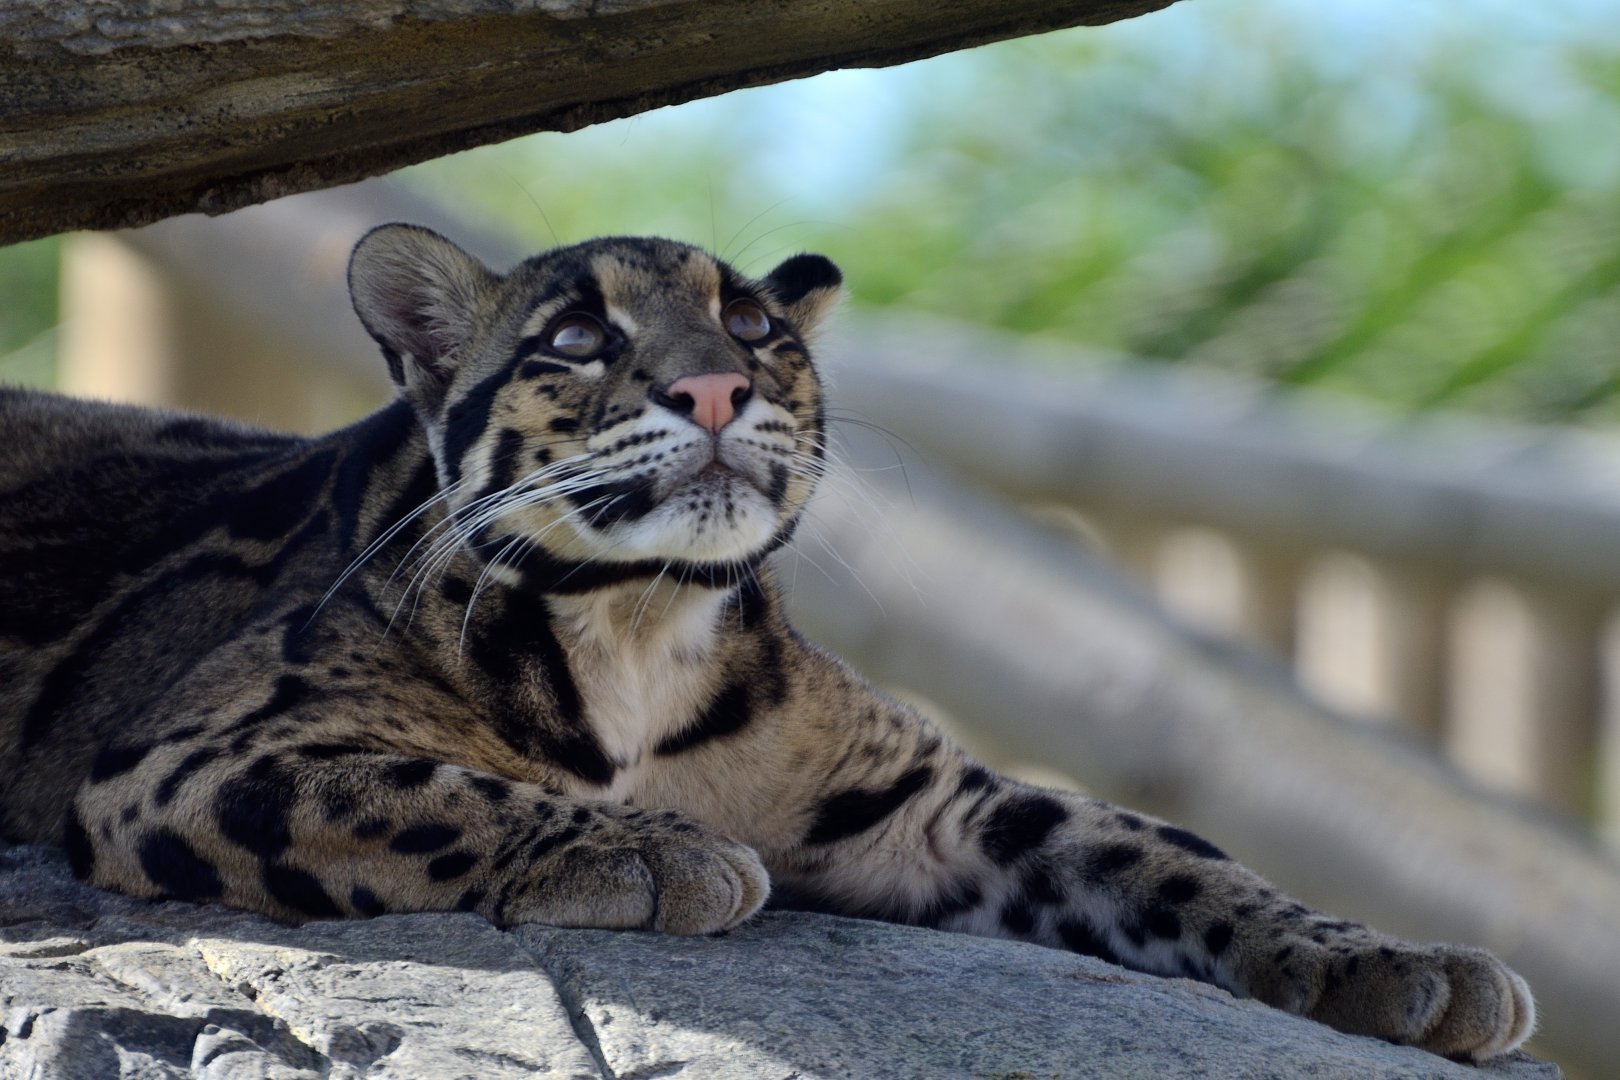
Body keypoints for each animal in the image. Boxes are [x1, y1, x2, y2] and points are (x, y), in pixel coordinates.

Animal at [0, 224, 1534, 1061]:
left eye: (750, 321)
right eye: (573, 336)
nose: (716, 388)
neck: (642, 616)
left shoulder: (931, 804)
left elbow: (1165, 852)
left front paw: (1391, 960)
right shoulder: (198, 753)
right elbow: (427, 789)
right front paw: (652, 851)